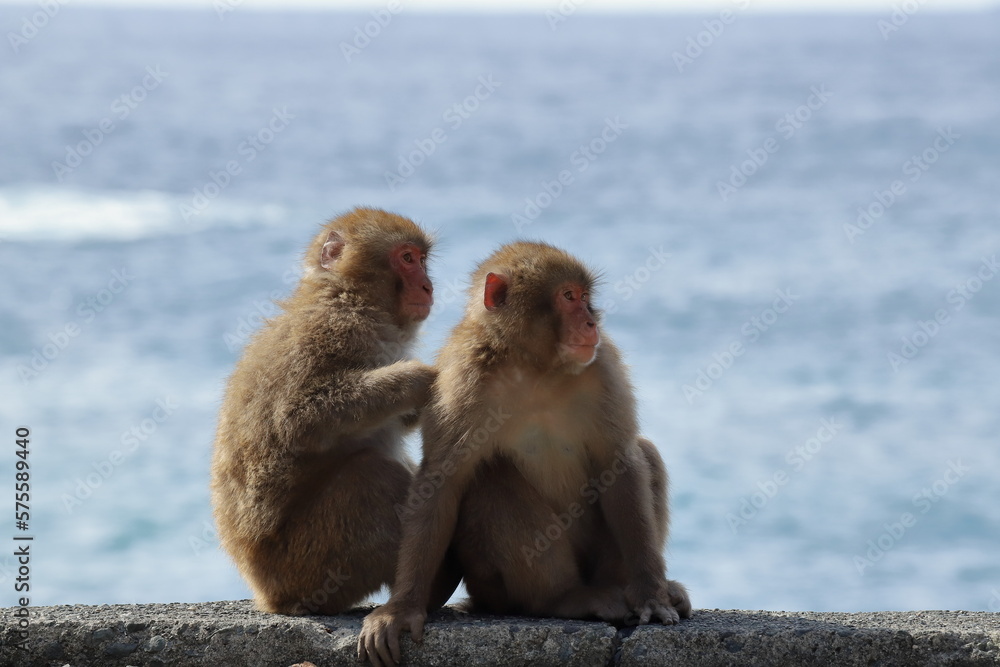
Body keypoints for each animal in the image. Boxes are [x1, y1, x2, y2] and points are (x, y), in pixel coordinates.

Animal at [212, 207, 460, 616]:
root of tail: (267, 595)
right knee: (372, 475)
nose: (428, 287)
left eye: (422, 260)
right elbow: (299, 420)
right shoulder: (334, 330)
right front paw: (418, 377)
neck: (347, 295)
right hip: (310, 566)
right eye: (408, 259)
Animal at [360, 243, 696, 664]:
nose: (591, 322)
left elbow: (618, 461)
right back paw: (563, 599)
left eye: (584, 298)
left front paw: (651, 594)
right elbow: (442, 479)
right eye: (568, 297)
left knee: (643, 452)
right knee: (492, 476)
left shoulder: (602, 366)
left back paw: (645, 590)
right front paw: (402, 608)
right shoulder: (460, 379)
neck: (534, 366)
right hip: (495, 588)